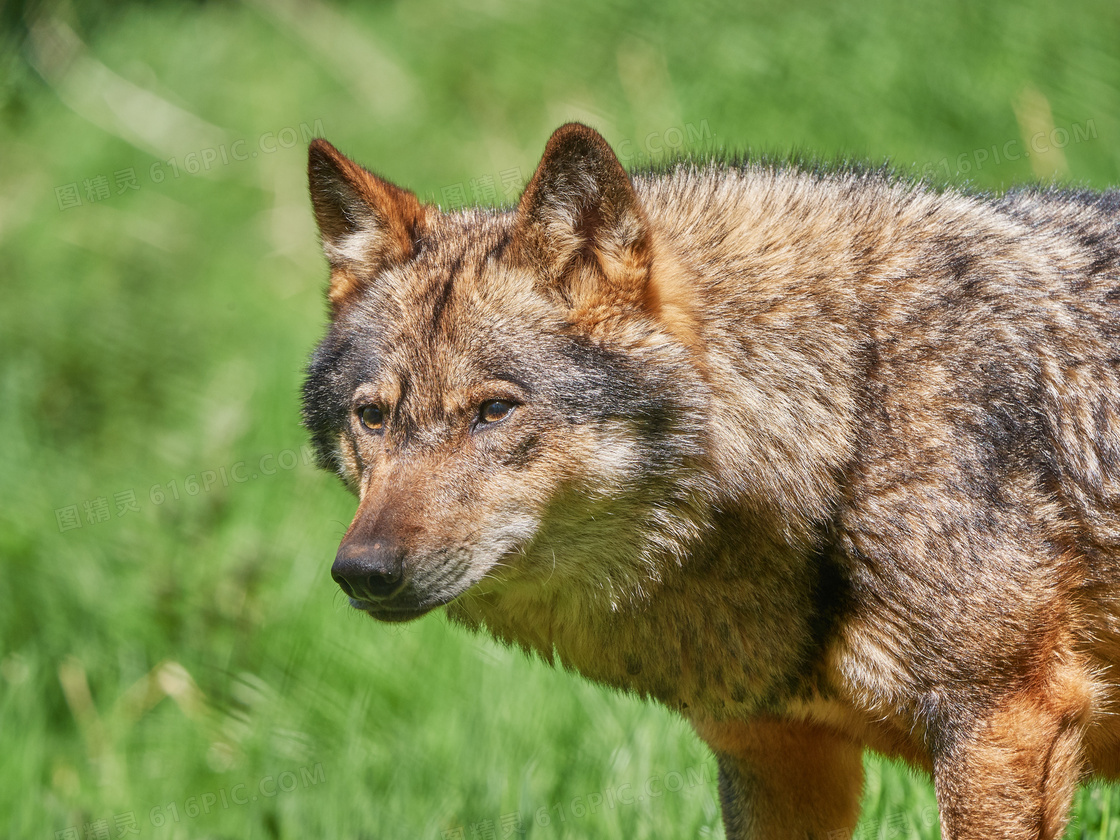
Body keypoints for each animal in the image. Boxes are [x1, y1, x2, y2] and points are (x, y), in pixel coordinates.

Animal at [300, 124, 1120, 840]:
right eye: (372, 417)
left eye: (493, 411)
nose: (362, 571)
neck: (853, 419)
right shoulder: (775, 752)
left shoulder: (1002, 724)